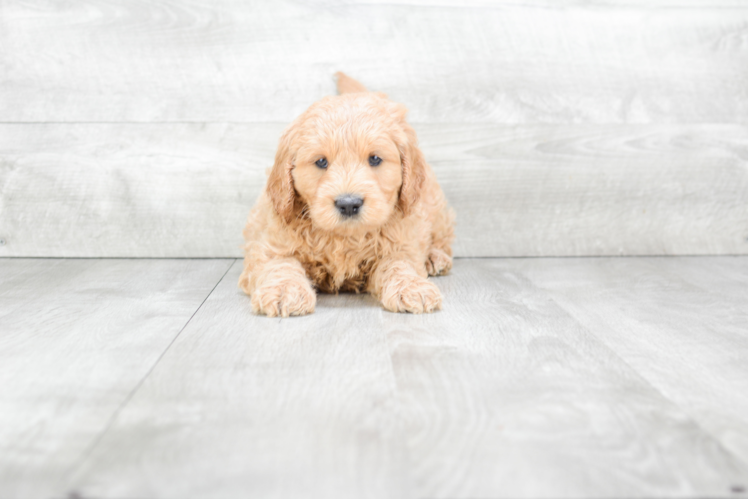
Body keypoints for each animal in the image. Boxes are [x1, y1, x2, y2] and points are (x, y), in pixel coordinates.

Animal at [238, 73, 456, 316]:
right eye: (321, 162)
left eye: (375, 159)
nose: (349, 204)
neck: (344, 237)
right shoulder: (270, 243)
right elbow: (280, 264)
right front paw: (284, 290)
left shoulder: (402, 242)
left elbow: (399, 264)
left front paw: (412, 287)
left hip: (433, 205)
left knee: (441, 236)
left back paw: (435, 257)